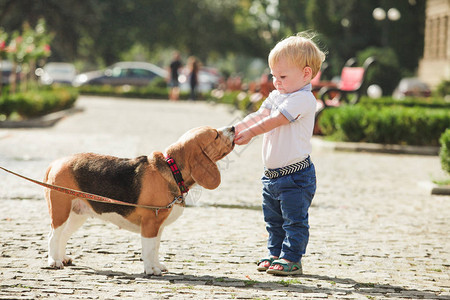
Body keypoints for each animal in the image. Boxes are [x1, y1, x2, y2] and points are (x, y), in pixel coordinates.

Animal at [44, 125, 236, 276]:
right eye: (215, 135)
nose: (233, 128)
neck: (172, 168)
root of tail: (56, 163)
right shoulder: (150, 223)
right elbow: (149, 249)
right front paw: (151, 269)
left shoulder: (158, 226)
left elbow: (156, 248)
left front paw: (157, 265)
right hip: (60, 211)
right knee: (53, 235)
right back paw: (54, 261)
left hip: (77, 215)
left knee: (63, 235)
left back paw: (62, 257)